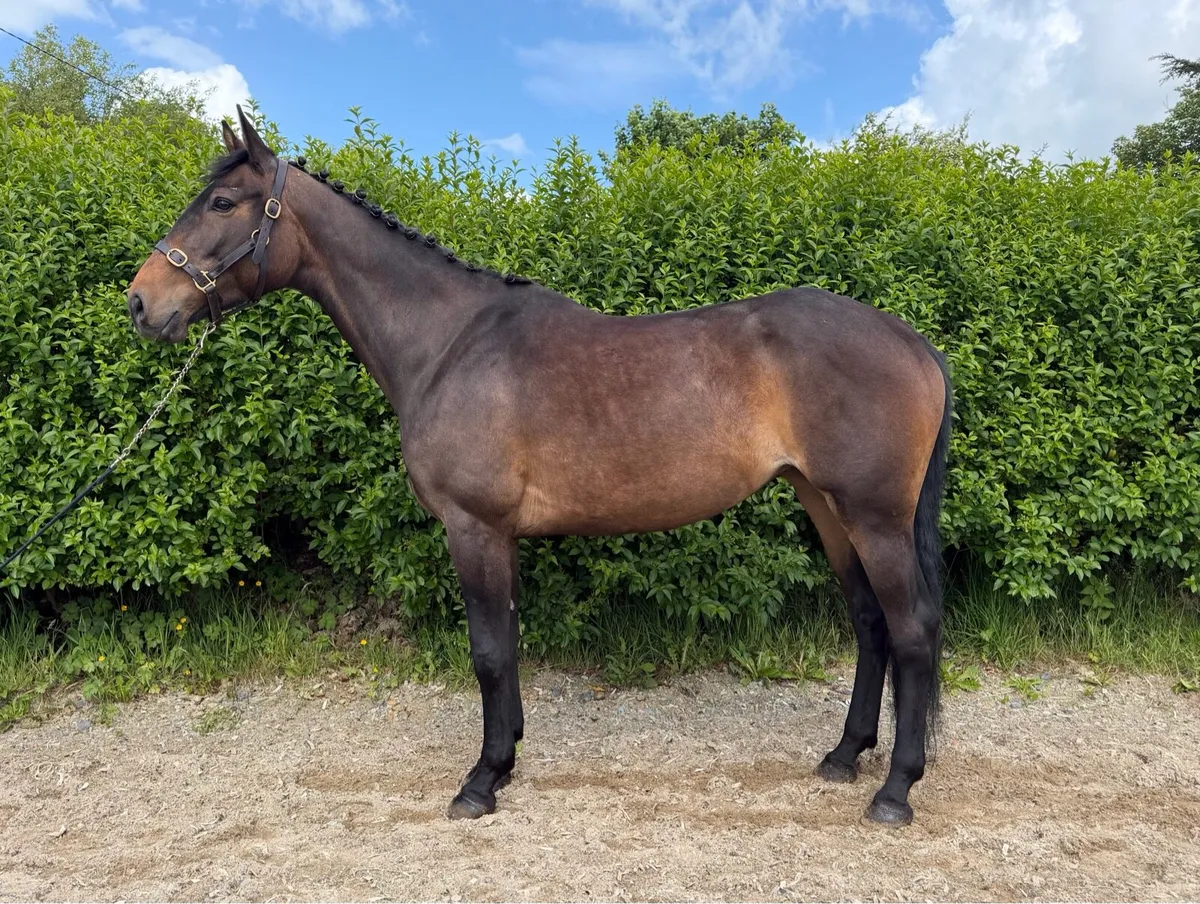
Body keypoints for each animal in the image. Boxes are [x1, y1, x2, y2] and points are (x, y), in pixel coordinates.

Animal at [126, 107, 952, 827]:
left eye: (222, 201)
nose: (140, 303)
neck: (449, 342)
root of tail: (911, 342)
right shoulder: (501, 535)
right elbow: (510, 644)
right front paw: (508, 759)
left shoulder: (474, 527)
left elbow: (489, 652)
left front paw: (480, 781)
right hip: (826, 506)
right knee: (870, 623)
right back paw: (844, 756)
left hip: (873, 517)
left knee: (911, 630)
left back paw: (894, 791)